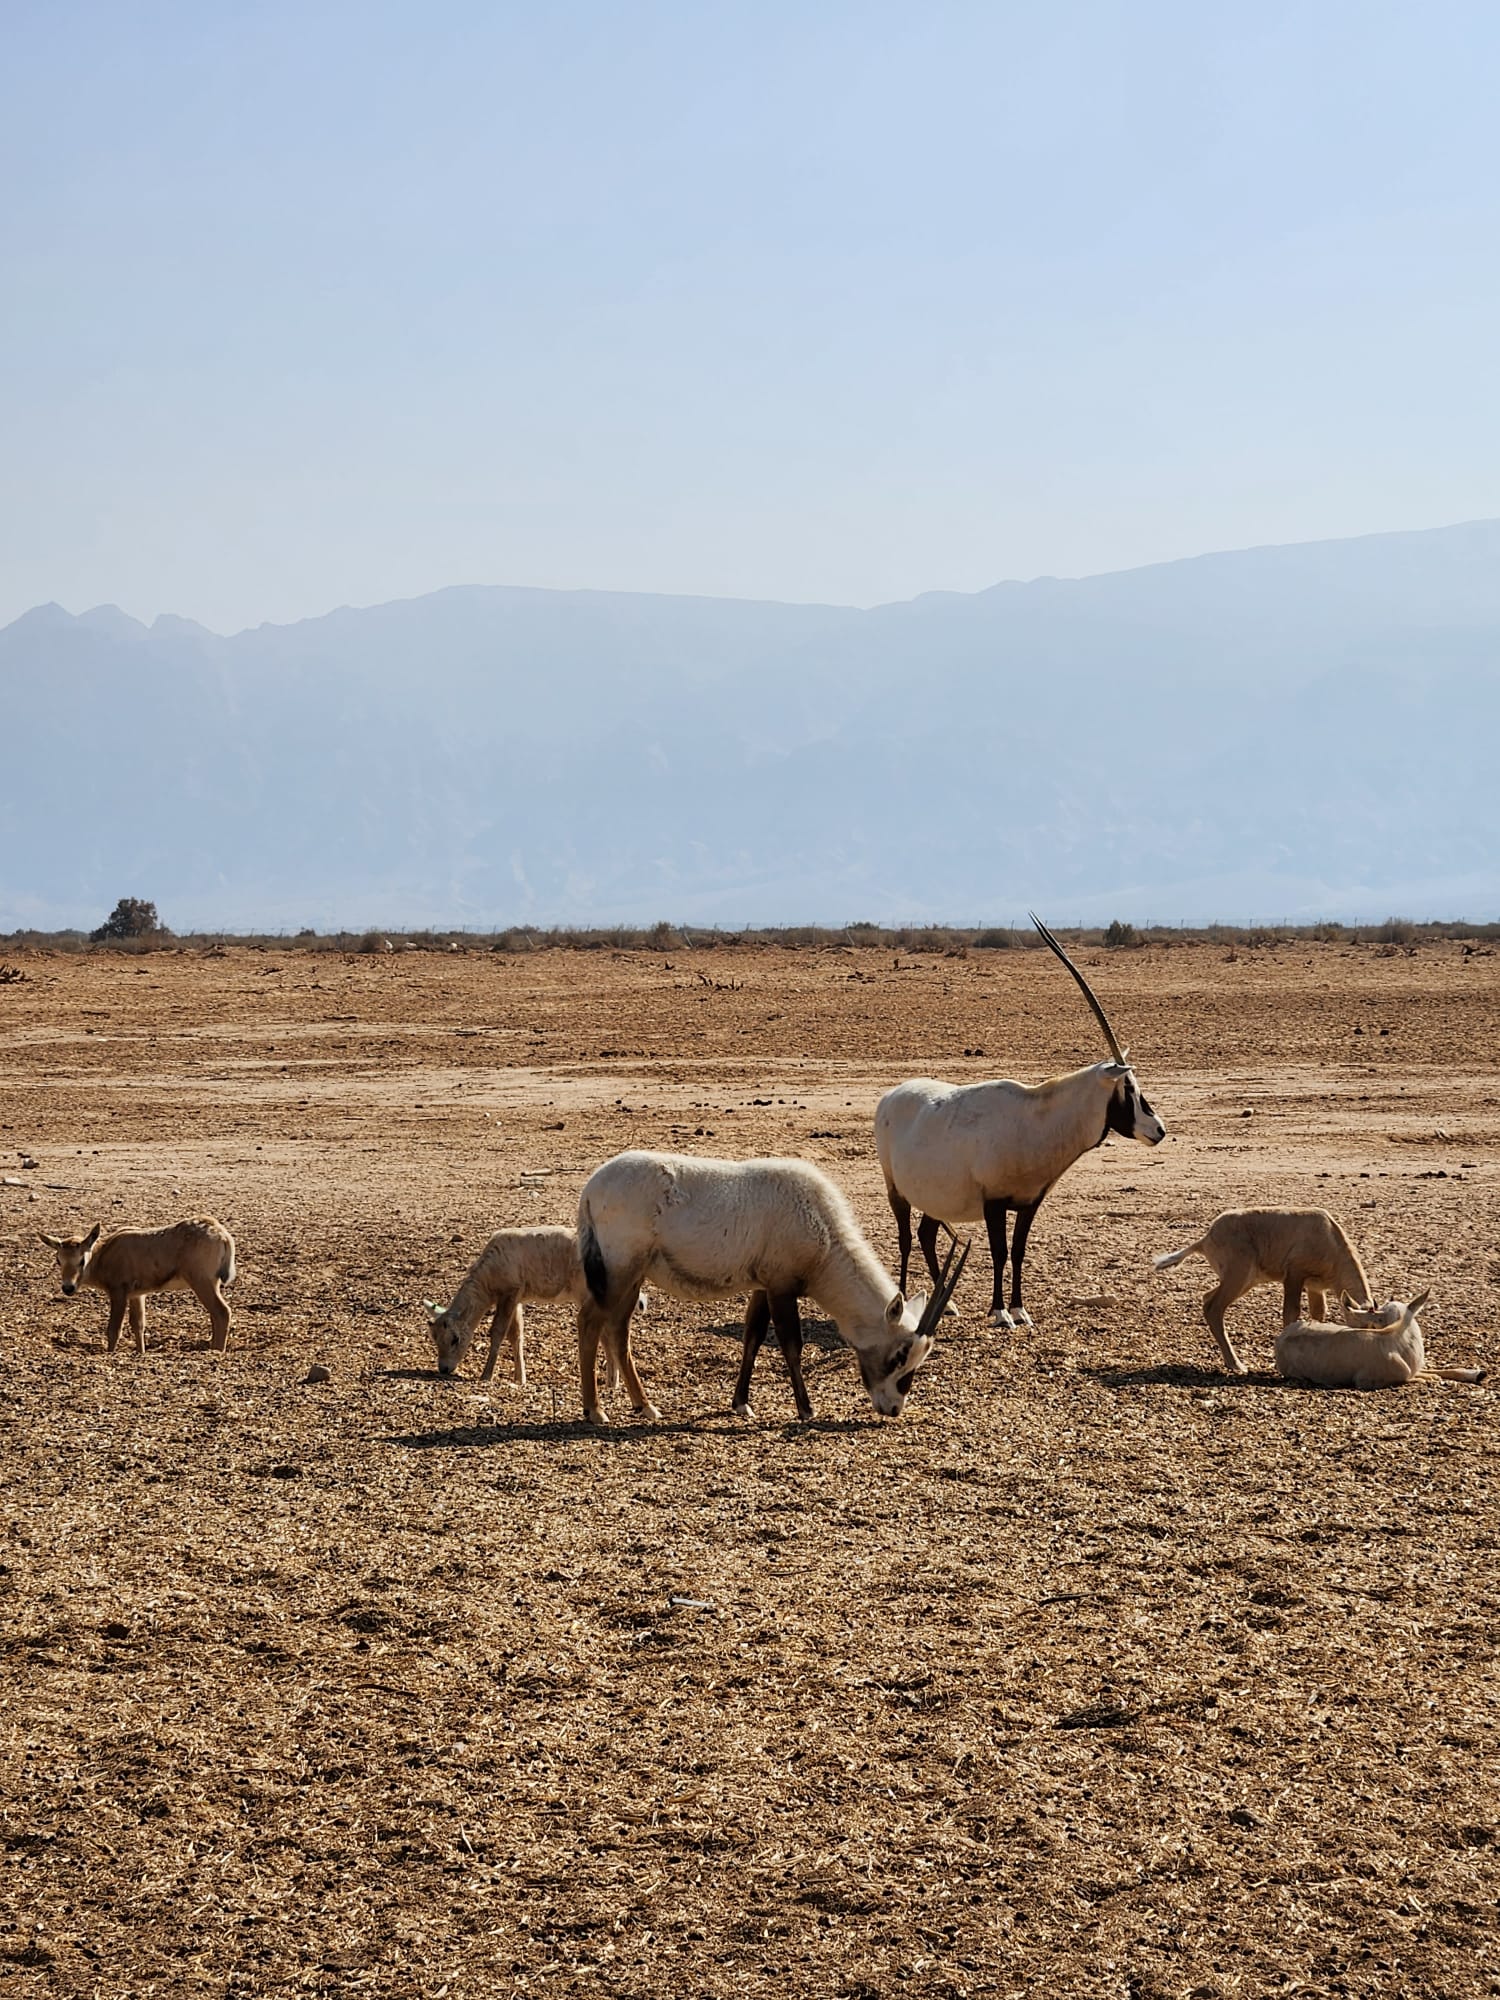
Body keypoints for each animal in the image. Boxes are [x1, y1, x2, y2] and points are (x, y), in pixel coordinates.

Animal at [39, 1217, 236, 1354]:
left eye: (82, 1260)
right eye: (58, 1260)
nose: (68, 1287)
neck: (102, 1258)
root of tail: (224, 1237)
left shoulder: (119, 1290)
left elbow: (114, 1329)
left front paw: (110, 1353)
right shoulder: (137, 1293)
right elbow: (138, 1324)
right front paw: (141, 1353)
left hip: (201, 1278)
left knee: (222, 1311)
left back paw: (217, 1351)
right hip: (211, 1281)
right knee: (214, 1314)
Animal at [424, 1225, 641, 1385]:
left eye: (455, 1339)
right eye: (434, 1338)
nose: (443, 1368)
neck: (489, 1283)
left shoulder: (511, 1289)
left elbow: (498, 1331)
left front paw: (486, 1376)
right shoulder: (517, 1297)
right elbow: (516, 1334)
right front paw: (520, 1379)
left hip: (587, 1293)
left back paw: (612, 1382)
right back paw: (612, 1381)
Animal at [575, 1150, 965, 1425]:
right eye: (900, 1355)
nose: (894, 1409)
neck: (823, 1232)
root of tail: (591, 1190)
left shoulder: (762, 1286)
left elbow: (753, 1338)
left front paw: (741, 1403)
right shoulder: (781, 1287)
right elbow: (792, 1346)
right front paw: (806, 1409)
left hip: (633, 1275)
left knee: (618, 1329)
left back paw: (645, 1406)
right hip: (620, 1269)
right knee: (590, 1321)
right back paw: (595, 1411)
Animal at [876, 914, 1165, 1329]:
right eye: (1128, 1086)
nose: (1158, 1130)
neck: (1038, 1118)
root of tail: (890, 1097)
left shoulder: (1029, 1203)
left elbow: (1017, 1251)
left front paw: (1019, 1309)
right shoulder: (994, 1202)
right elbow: (998, 1251)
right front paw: (999, 1312)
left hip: (933, 1195)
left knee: (926, 1234)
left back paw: (947, 1304)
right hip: (896, 1188)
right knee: (904, 1237)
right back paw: (902, 1304)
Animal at [1152, 1207, 1375, 1374]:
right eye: (1360, 1325)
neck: (1328, 1234)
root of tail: (1205, 1240)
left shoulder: (1315, 1287)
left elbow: (1318, 1315)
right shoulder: (1293, 1276)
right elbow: (1291, 1312)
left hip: (1244, 1280)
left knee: (1207, 1298)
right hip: (1240, 1276)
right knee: (1213, 1307)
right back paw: (1236, 1365)